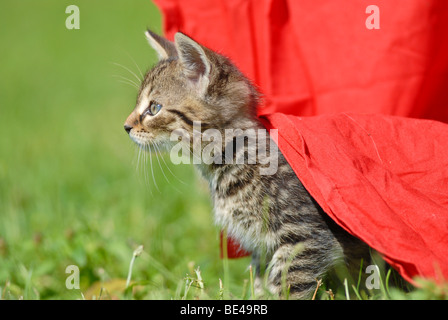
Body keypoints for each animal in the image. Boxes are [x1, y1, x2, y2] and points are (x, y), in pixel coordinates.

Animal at [122, 30, 368, 300]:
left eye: (154, 108)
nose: (126, 127)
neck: (230, 156)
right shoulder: (263, 247)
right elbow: (261, 283)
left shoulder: (306, 236)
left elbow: (287, 285)